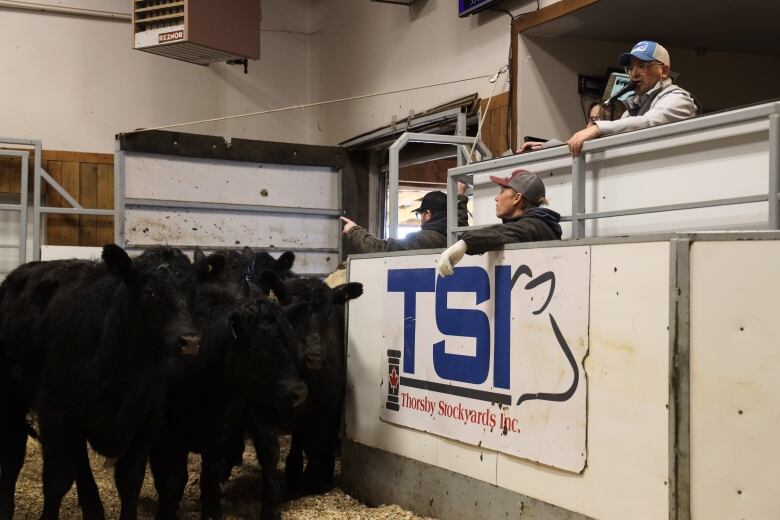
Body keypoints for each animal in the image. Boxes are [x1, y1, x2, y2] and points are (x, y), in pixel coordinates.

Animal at [0, 245, 218, 520]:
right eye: (150, 292)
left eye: (193, 293)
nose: (189, 340)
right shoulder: (55, 413)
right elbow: (56, 481)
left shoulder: (147, 421)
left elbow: (130, 482)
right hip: (12, 400)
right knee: (12, 456)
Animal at [151, 278, 310, 520]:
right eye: (256, 348)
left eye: (293, 345)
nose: (299, 391)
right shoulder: (166, 435)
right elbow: (171, 481)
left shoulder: (216, 432)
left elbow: (207, 479)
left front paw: (211, 512)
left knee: (269, 458)